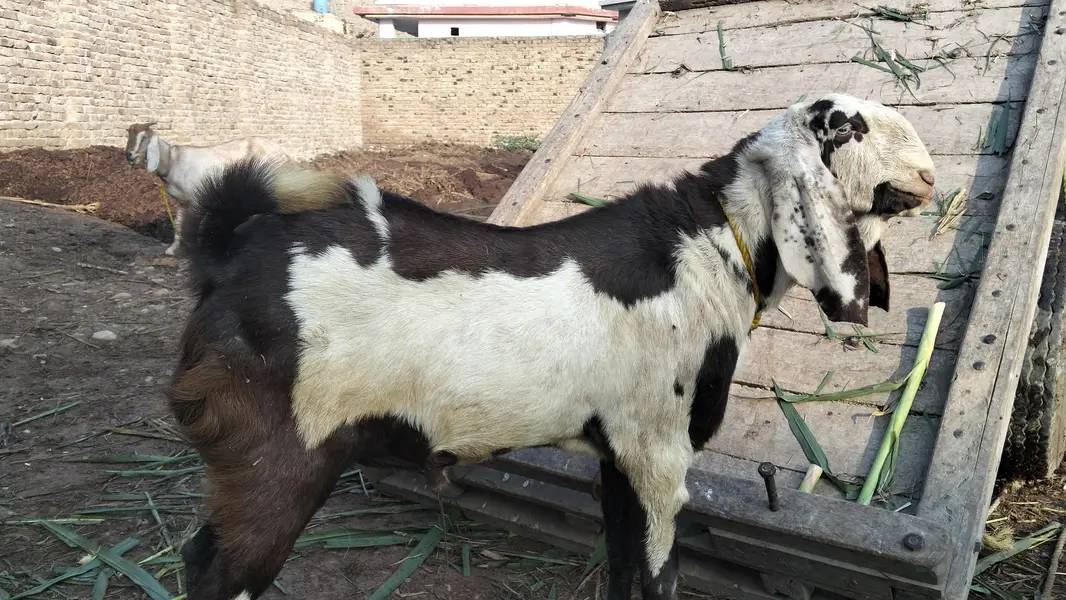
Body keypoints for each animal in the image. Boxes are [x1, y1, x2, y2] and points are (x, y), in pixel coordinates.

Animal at [124, 122, 289, 256]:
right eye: (128, 135)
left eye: (144, 138)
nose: (128, 155)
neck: (172, 161)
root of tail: (283, 153)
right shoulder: (183, 201)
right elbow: (179, 224)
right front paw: (172, 250)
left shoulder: (195, 199)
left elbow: (191, 225)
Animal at [165, 92, 935, 600]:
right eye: (850, 127)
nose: (931, 173)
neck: (710, 248)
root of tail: (228, 251)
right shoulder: (660, 454)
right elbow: (659, 576)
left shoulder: (621, 456)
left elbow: (624, 568)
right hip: (277, 460)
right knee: (222, 575)